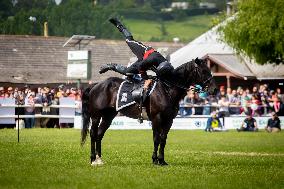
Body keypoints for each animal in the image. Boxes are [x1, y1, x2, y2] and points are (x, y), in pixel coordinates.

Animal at [81, 58, 216, 166]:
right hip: (96, 116)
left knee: (99, 134)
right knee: (93, 133)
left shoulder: (169, 120)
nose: (214, 89)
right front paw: (155, 160)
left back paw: (99, 159)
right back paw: (93, 159)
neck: (167, 89)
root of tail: (95, 85)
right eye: (204, 71)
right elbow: (156, 139)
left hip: (108, 116)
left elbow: (163, 139)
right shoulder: (157, 118)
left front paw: (162, 160)